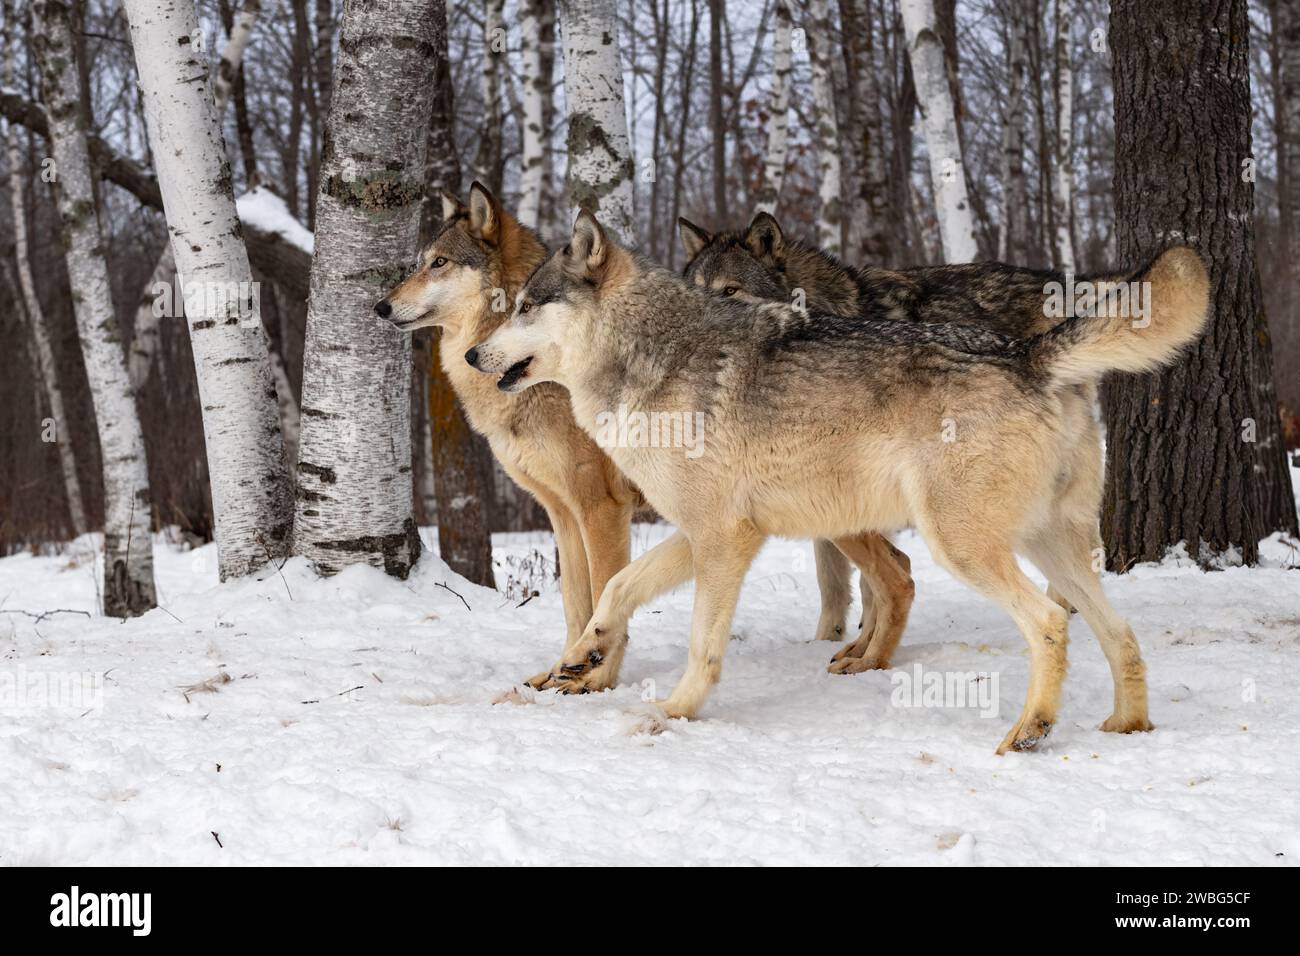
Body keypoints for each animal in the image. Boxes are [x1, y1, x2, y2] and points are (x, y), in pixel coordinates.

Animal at [473, 210, 1211, 754]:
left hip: (964, 547)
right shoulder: (708, 533)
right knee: (1120, 633)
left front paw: (675, 711)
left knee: (1050, 623)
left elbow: (701, 645)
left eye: (526, 308)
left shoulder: (722, 540)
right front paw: (582, 654)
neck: (652, 361)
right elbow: (619, 589)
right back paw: (1126, 726)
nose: (475, 355)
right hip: (1045, 545)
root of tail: (1030, 355)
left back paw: (1030, 730)